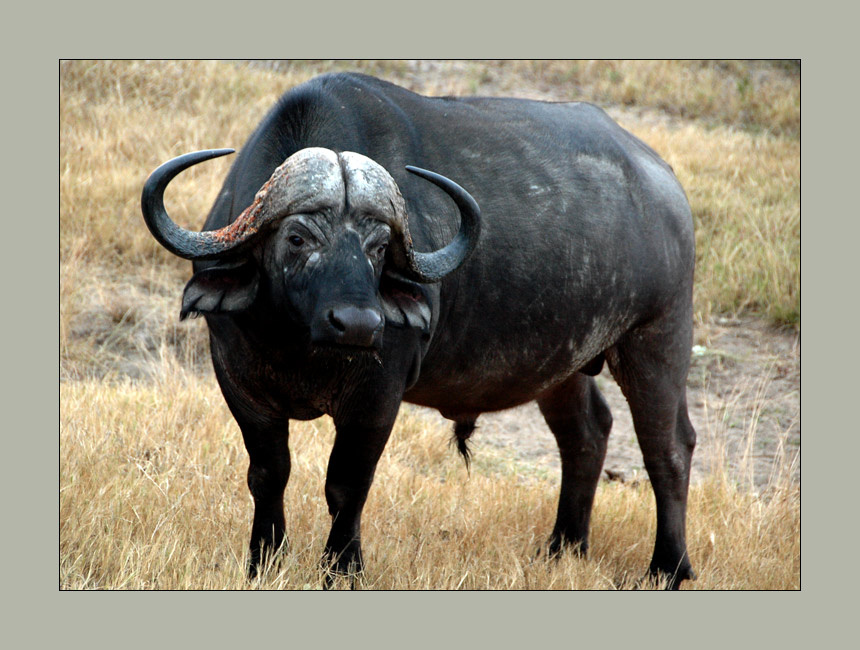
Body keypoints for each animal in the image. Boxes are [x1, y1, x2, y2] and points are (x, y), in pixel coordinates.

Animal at [141, 72, 698, 588]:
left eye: (379, 247)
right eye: (297, 238)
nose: (359, 324)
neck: (300, 345)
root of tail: (666, 186)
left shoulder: (377, 397)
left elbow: (347, 484)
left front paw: (343, 569)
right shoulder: (241, 382)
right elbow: (268, 474)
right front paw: (264, 561)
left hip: (659, 337)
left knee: (668, 449)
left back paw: (668, 567)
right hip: (565, 365)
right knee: (586, 434)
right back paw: (564, 548)